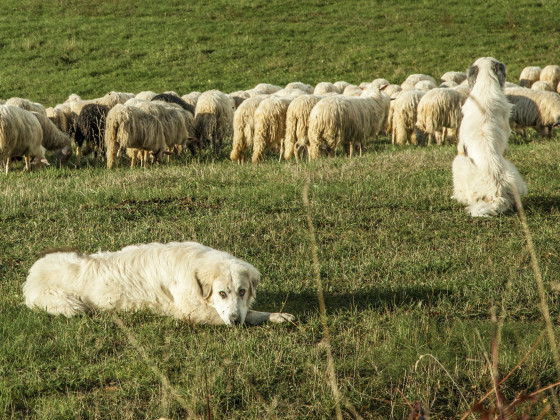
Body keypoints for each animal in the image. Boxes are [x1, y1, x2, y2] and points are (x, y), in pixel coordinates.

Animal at [24, 241, 296, 326]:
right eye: (221, 293)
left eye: (241, 291)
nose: (234, 320)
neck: (194, 270)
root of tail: (32, 272)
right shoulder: (191, 313)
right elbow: (251, 315)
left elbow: (251, 310)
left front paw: (278, 315)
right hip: (69, 305)